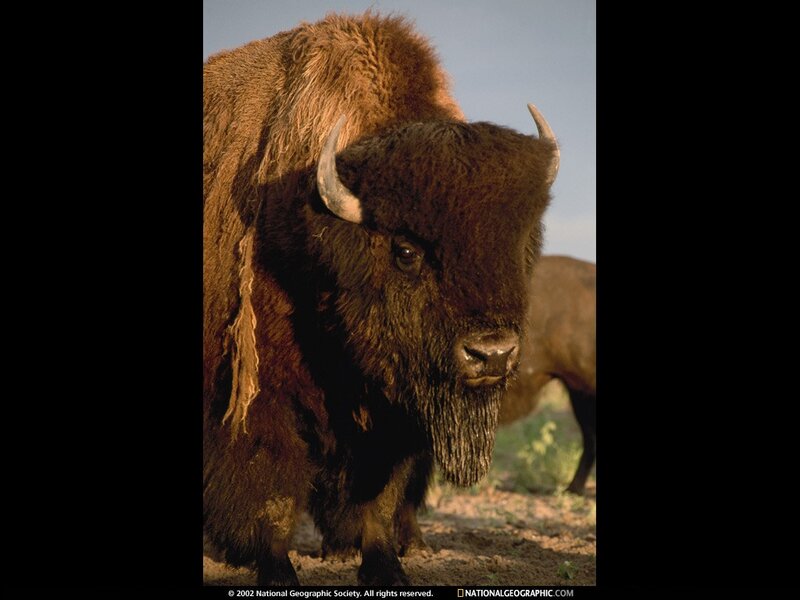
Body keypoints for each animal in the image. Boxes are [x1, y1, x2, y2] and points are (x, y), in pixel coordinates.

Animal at [203, 13, 559, 585]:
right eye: (406, 250)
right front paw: (278, 572)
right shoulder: (256, 401)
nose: (492, 354)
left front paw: (386, 566)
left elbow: (381, 498)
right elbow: (273, 495)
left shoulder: (395, 416)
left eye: (520, 239)